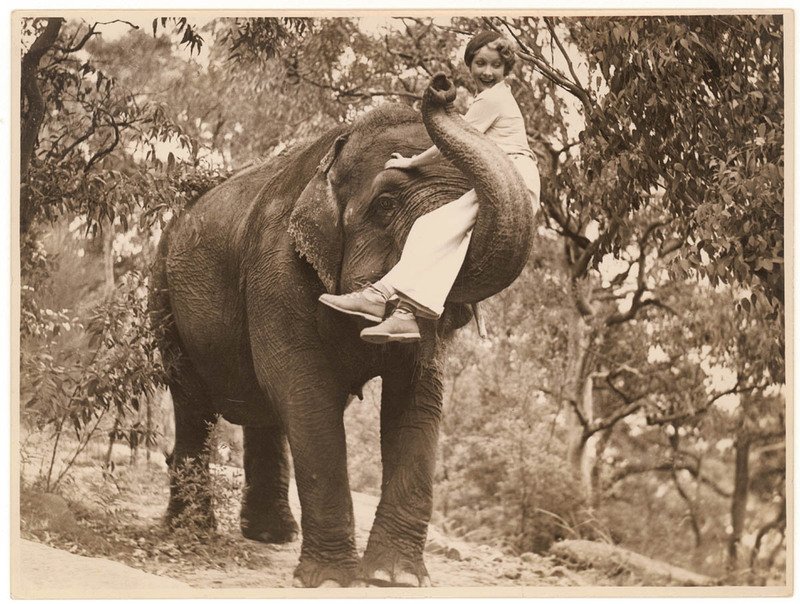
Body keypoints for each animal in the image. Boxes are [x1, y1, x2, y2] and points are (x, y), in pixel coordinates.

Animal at [149, 74, 534, 587]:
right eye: (386, 204)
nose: (442, 85)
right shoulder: (275, 267)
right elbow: (305, 390)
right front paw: (333, 580)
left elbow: (417, 397)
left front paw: (396, 578)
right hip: (164, 298)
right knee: (193, 403)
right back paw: (191, 531)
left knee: (262, 411)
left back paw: (269, 536)